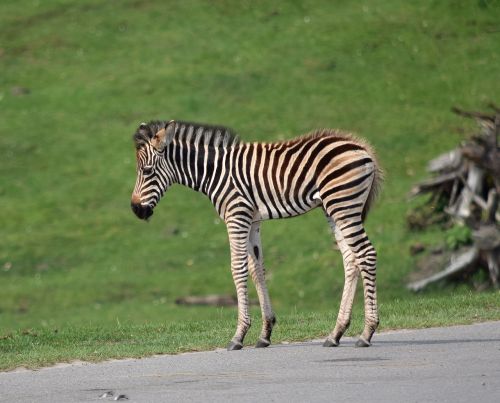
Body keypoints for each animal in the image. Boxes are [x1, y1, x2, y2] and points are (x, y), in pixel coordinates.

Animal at [131, 120, 380, 350]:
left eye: (147, 171)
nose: (135, 209)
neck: (214, 171)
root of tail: (362, 147)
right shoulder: (253, 220)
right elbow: (256, 269)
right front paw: (265, 333)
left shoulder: (236, 216)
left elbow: (237, 269)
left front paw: (239, 335)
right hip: (334, 209)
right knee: (350, 259)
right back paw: (336, 333)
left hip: (343, 204)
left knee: (366, 254)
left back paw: (367, 333)